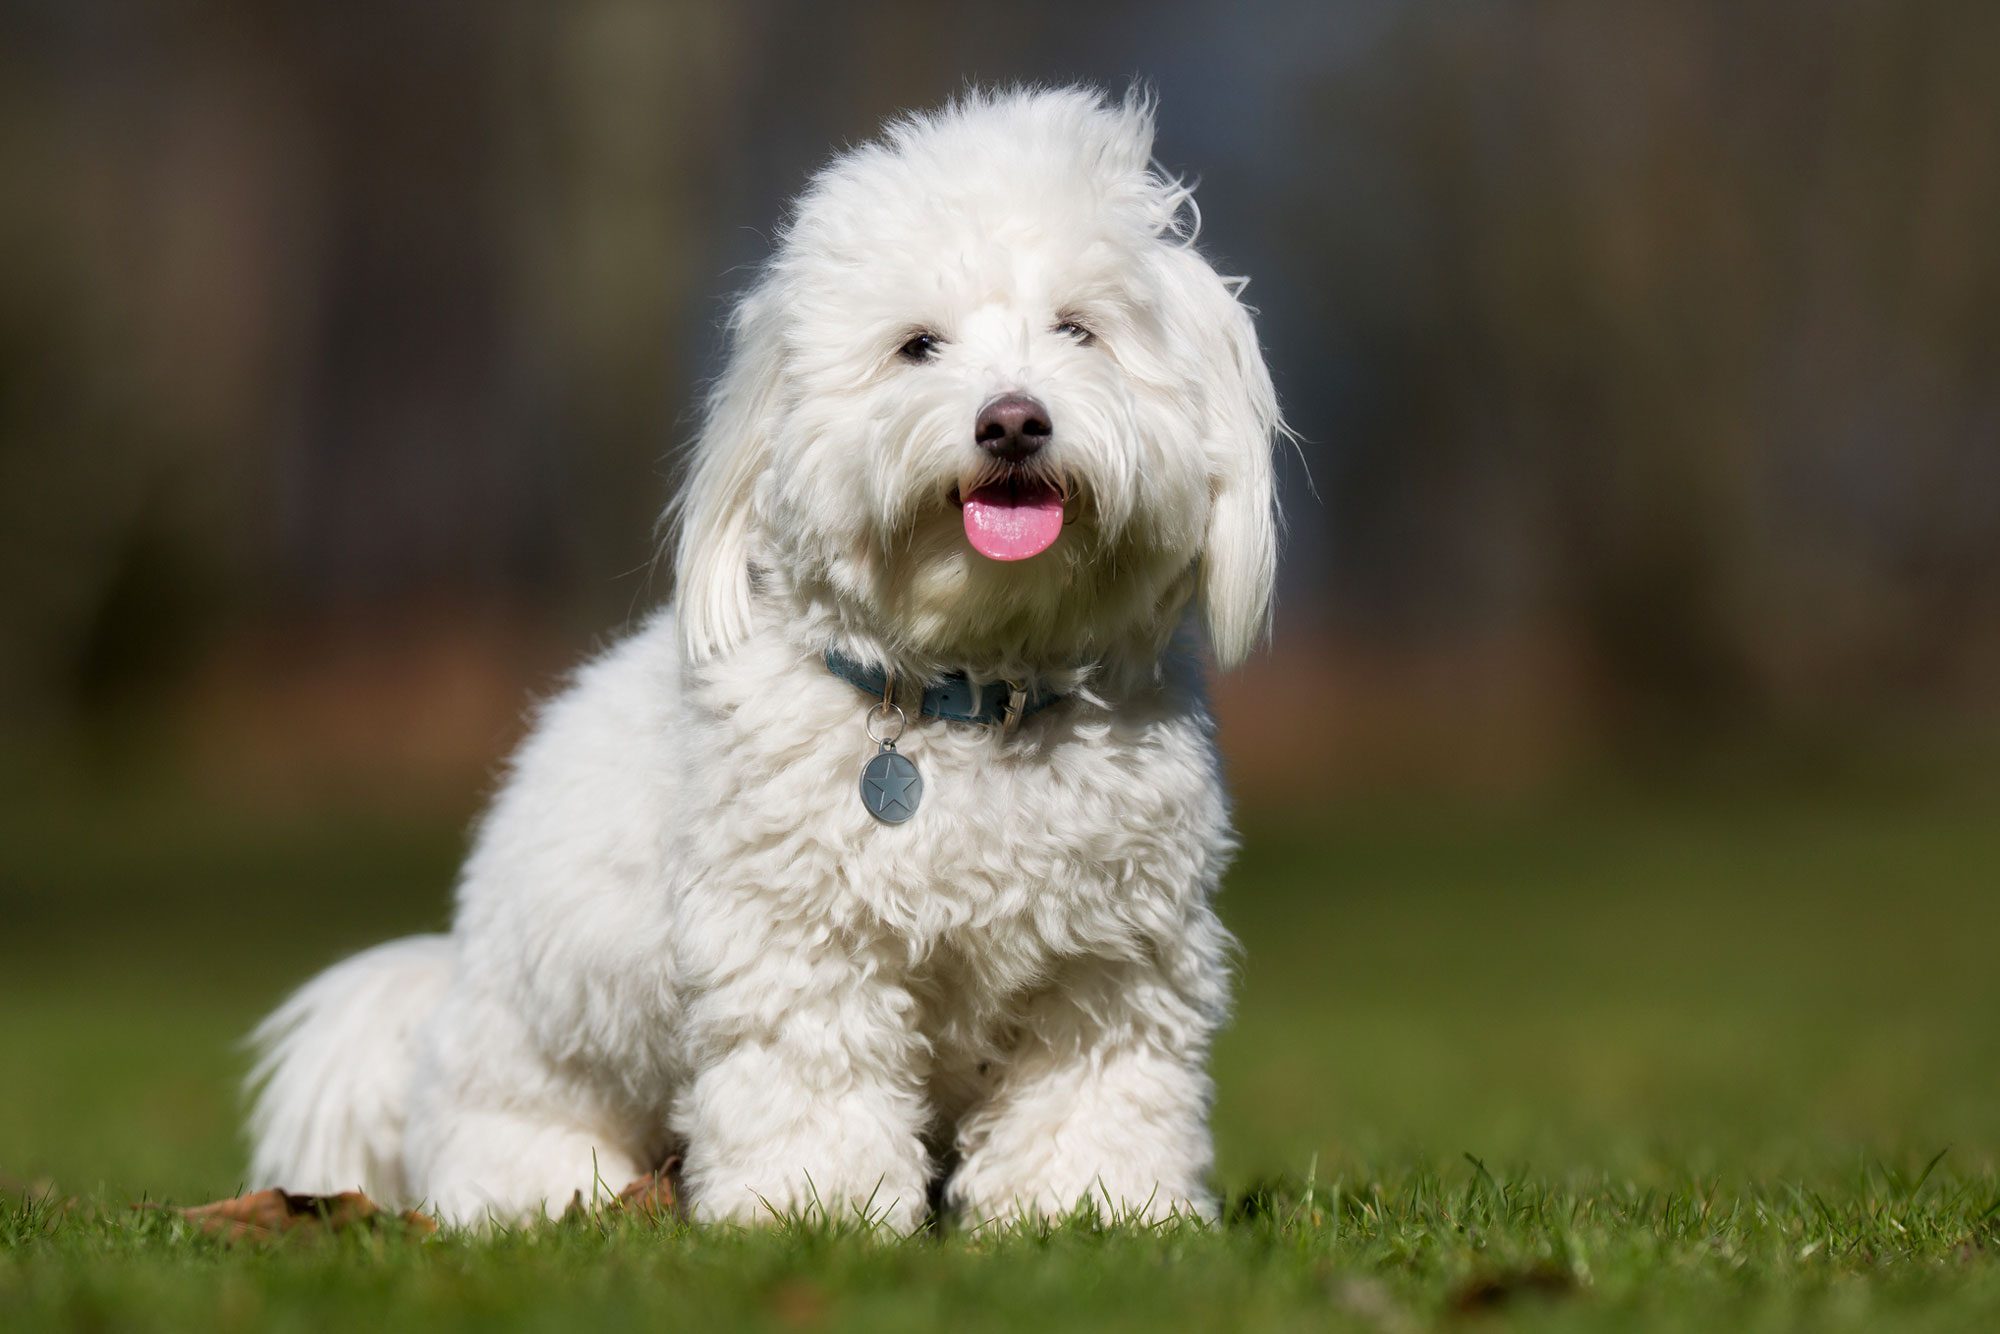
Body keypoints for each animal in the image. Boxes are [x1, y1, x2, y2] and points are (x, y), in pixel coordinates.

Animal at [246, 86, 1280, 1232]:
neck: (973, 692)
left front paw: (1091, 1208)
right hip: (528, 1076)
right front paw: (816, 1208)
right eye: (917, 346)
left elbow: (1094, 1092)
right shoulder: (797, 942)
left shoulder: (1108, 958)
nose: (1012, 420)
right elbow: (812, 1082)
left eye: (1078, 328)